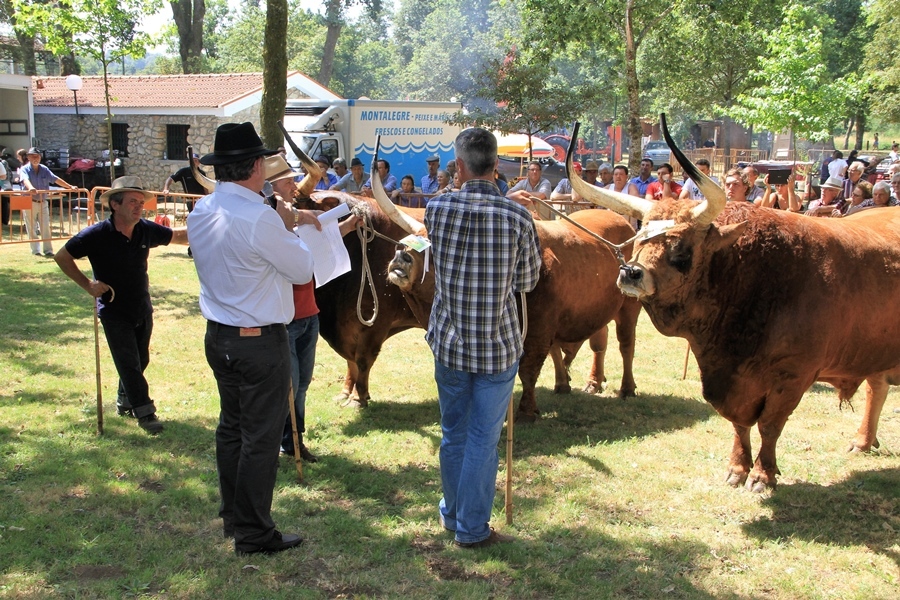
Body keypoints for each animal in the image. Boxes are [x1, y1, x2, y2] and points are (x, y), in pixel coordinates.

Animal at [370, 163, 644, 418]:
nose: (401, 257)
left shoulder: (538, 331)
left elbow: (529, 369)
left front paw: (526, 411)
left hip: (630, 307)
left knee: (626, 345)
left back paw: (627, 388)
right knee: (596, 341)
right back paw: (578, 383)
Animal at [568, 116, 900, 492]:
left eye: (681, 250)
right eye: (640, 239)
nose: (630, 272)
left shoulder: (793, 374)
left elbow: (770, 424)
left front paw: (762, 475)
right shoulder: (729, 380)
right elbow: (740, 423)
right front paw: (738, 468)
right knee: (877, 387)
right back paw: (863, 441)